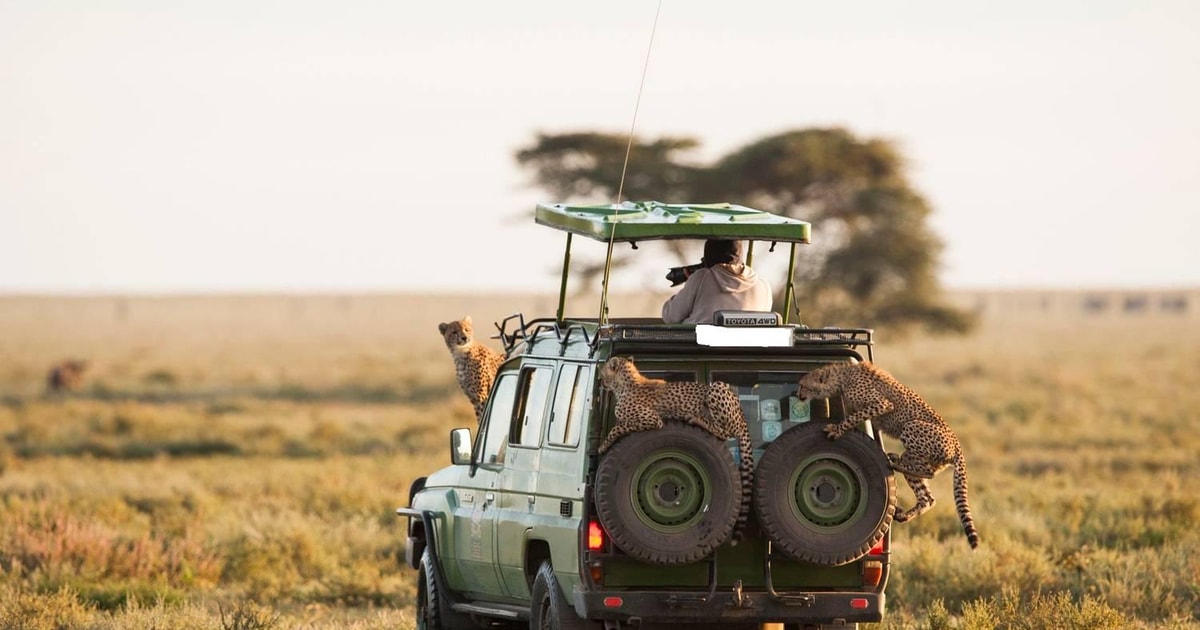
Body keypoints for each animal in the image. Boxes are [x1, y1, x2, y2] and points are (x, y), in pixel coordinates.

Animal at [600, 352, 758, 540]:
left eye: (602, 373)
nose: (600, 381)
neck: (626, 382)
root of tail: (742, 413)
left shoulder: (653, 420)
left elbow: (619, 427)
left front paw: (603, 445)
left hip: (717, 387)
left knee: (723, 432)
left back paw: (696, 419)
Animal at [792, 360, 979, 547]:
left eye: (803, 385)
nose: (798, 394)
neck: (841, 378)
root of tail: (957, 444)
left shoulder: (882, 404)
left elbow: (854, 417)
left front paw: (837, 430)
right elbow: (852, 417)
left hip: (911, 427)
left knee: (928, 472)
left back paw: (894, 462)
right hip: (916, 458)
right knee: (927, 498)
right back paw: (904, 512)